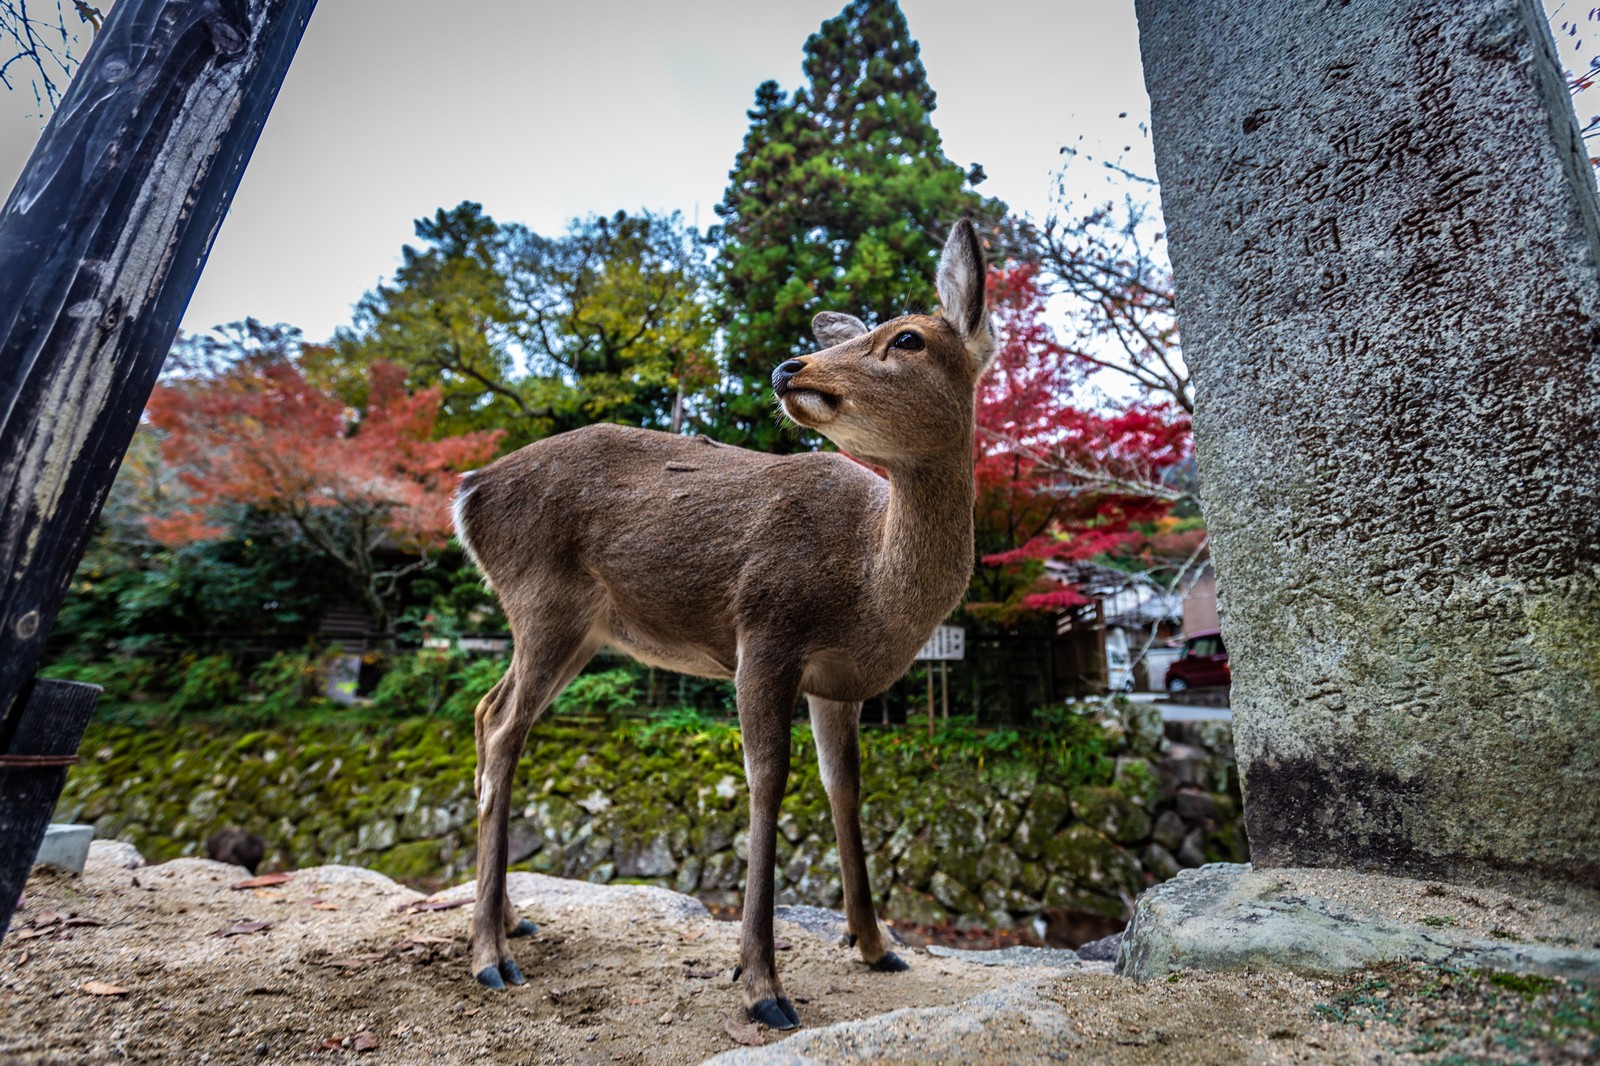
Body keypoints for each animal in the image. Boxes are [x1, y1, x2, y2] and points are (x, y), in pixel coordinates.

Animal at [451, 217, 992, 1030]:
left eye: (907, 338)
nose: (789, 367)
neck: (872, 595)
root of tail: (468, 491)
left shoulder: (837, 683)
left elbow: (845, 789)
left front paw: (876, 945)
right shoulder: (765, 630)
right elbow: (767, 780)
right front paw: (762, 983)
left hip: (574, 629)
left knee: (487, 712)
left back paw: (513, 918)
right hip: (543, 602)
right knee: (506, 726)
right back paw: (489, 954)